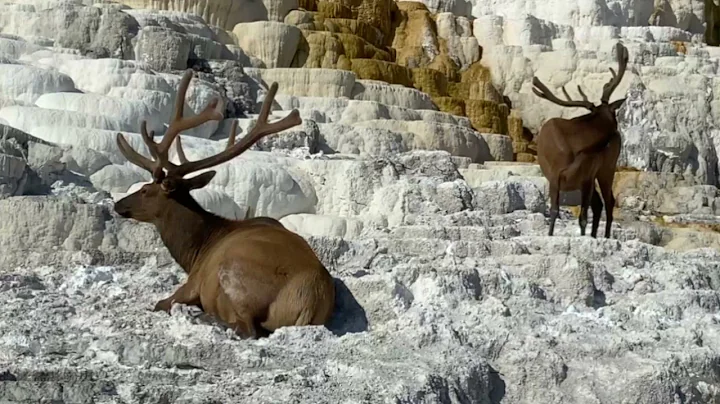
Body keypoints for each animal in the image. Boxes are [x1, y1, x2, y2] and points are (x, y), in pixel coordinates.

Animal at [112, 69, 336, 339]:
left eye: (146, 190)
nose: (118, 204)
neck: (195, 252)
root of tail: (309, 299)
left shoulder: (193, 282)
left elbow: (160, 302)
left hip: (234, 274)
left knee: (247, 327)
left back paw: (203, 317)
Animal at [532, 42, 630, 239]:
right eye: (615, 114)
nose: (617, 133)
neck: (575, 149)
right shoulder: (554, 174)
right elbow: (554, 210)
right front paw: (550, 234)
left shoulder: (587, 176)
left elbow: (583, 217)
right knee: (601, 203)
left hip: (607, 167)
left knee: (608, 201)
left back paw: (605, 236)